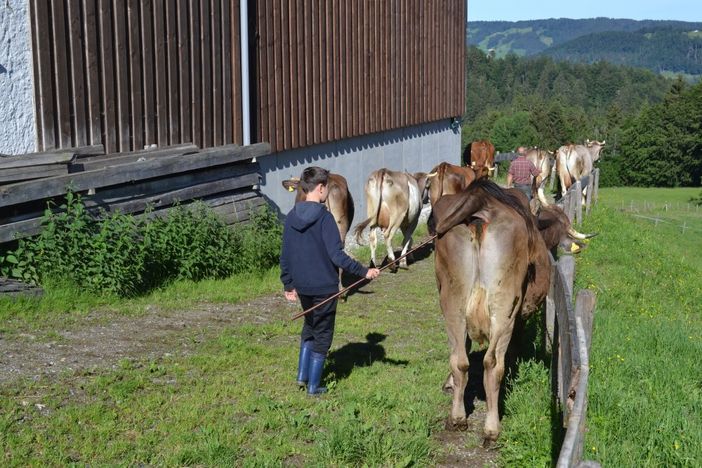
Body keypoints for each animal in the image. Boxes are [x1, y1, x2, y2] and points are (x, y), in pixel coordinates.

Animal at [432, 178, 552, 442]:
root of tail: (482, 200)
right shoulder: (518, 316)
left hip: (452, 302)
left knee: (459, 359)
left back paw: (457, 418)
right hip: (505, 305)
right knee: (493, 363)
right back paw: (492, 428)